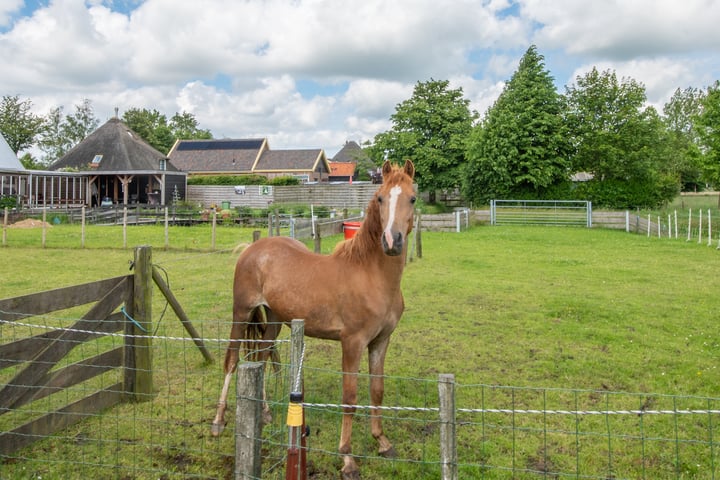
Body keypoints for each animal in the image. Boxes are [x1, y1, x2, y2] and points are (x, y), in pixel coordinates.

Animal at [211, 159, 416, 478]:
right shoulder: (352, 343)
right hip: (241, 312)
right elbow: (350, 398)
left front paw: (382, 442)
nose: (391, 241)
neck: (371, 275)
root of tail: (252, 249)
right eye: (381, 198)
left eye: (413, 198)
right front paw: (348, 459)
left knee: (262, 355)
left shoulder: (381, 341)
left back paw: (265, 413)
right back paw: (218, 421)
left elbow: (377, 391)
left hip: (274, 320)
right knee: (232, 359)